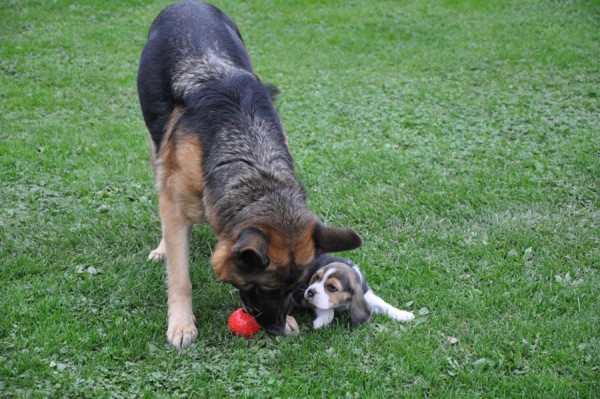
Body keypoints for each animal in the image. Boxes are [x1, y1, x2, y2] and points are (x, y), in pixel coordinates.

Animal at [137, 1, 360, 348]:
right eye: (264, 287)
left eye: (295, 286)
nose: (278, 328)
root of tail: (188, 4)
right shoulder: (175, 205)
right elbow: (180, 276)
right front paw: (181, 324)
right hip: (156, 146)